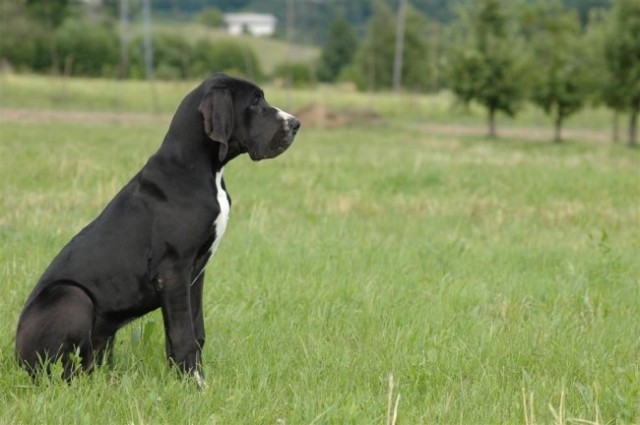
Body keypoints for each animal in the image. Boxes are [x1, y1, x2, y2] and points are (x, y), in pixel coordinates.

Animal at [15, 73, 300, 384]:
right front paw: (194, 384)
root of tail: (15, 355)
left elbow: (195, 330)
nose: (296, 123)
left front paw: (189, 378)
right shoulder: (172, 271)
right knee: (58, 370)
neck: (202, 168)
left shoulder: (195, 274)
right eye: (255, 102)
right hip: (71, 296)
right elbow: (183, 334)